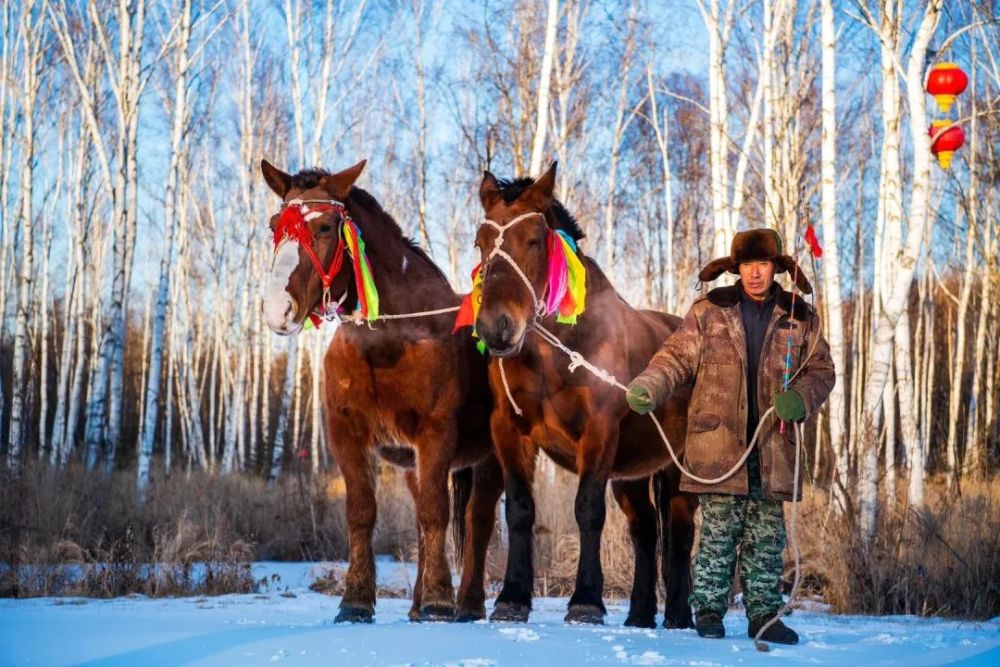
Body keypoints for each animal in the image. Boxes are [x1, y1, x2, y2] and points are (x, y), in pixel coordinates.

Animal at [260, 159, 504, 624]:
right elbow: (362, 512)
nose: (276, 310)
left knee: (477, 521)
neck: (390, 341)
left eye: (324, 227)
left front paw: (441, 599)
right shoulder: (348, 435)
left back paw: (467, 604)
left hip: (493, 458)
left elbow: (436, 512)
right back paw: (418, 605)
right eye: (273, 226)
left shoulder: (435, 434)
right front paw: (355, 600)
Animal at [468, 163, 696, 632]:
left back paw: (679, 616)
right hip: (631, 474)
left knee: (680, 535)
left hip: (678, 469)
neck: (558, 353)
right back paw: (640, 615)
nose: (496, 327)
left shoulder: (599, 434)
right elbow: (519, 511)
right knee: (646, 531)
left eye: (534, 240)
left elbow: (588, 510)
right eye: (481, 242)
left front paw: (586, 601)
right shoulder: (510, 432)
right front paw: (513, 598)